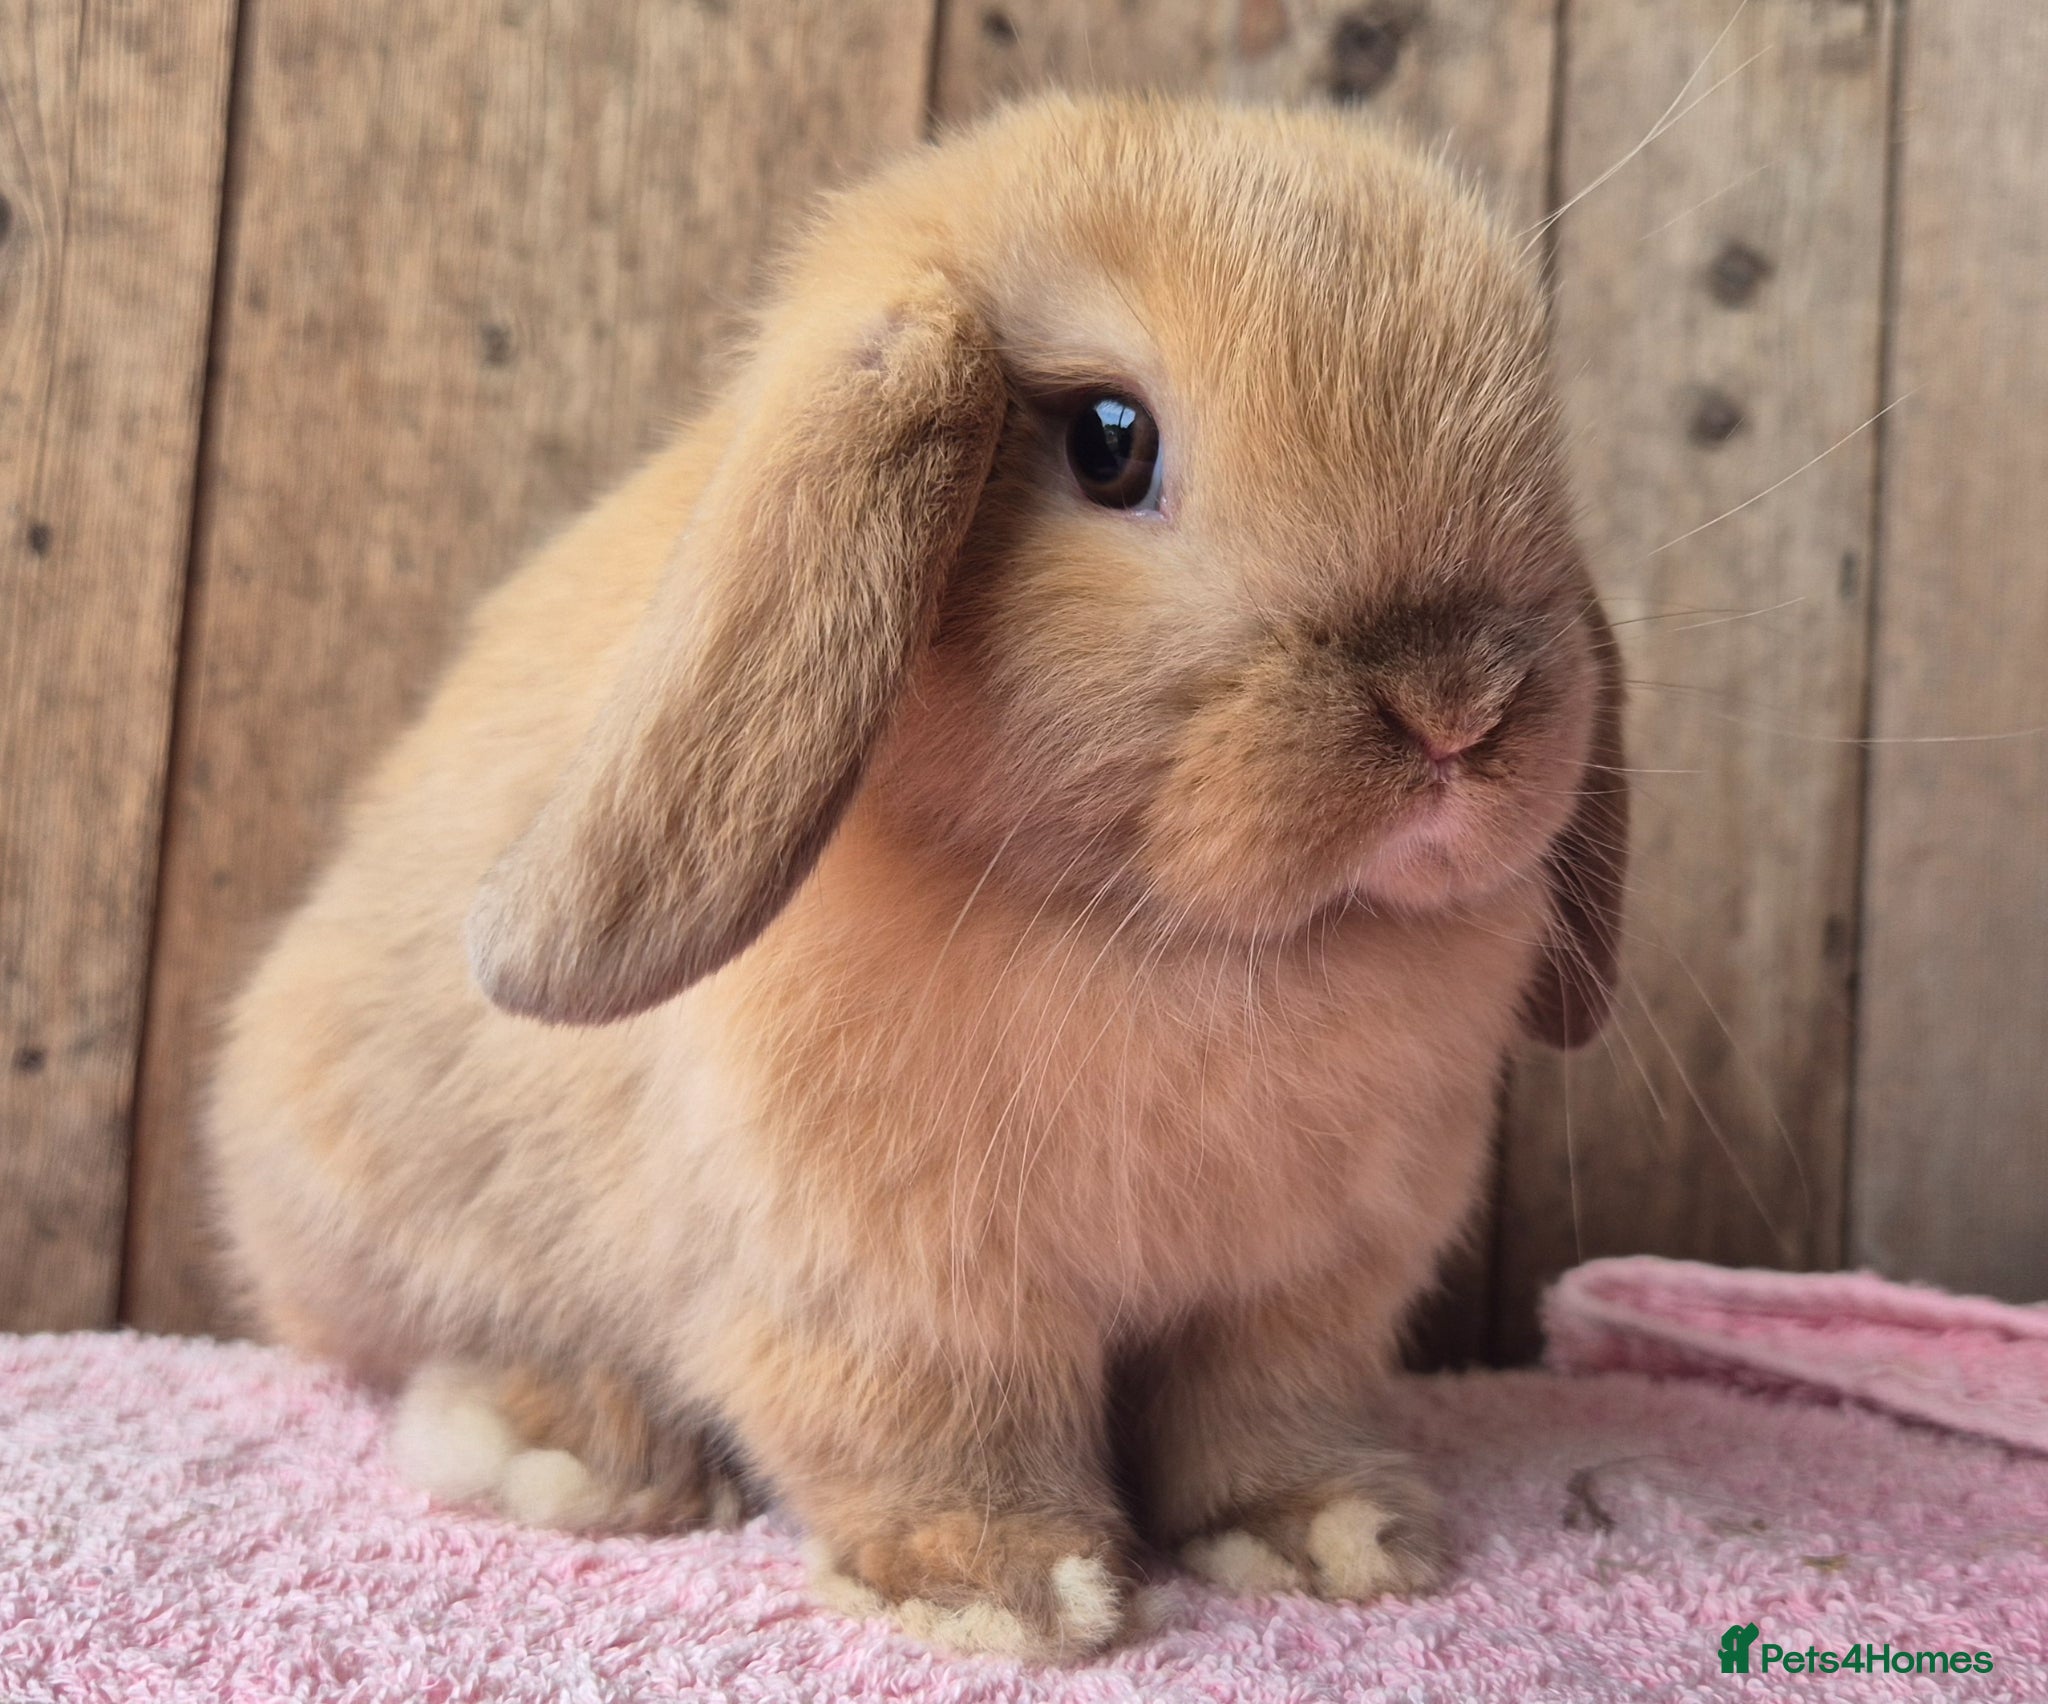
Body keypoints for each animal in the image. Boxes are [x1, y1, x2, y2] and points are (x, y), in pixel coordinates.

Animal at [208, 91, 1627, 1661]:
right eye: (1110, 443)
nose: (1457, 709)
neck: (1172, 936)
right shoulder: (885, 1295)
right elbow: (930, 1428)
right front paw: (1003, 1589)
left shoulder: (1300, 1293)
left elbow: (1265, 1416)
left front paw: (1334, 1538)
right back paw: (572, 1445)